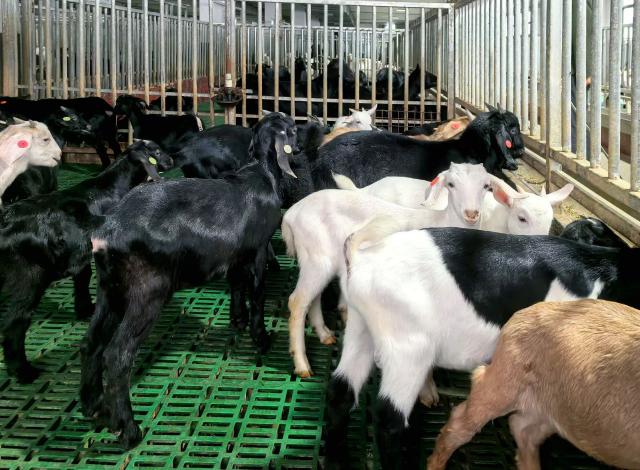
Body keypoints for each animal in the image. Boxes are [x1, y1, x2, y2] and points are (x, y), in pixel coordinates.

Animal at [0, 140, 172, 383]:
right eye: (156, 152)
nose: (171, 160)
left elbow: (82, 277)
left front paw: (84, 309)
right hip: (30, 274)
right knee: (16, 320)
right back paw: (23, 371)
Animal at [80, 112, 300, 449]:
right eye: (292, 128)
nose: (300, 141)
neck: (261, 175)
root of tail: (106, 232)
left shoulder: (235, 254)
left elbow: (236, 284)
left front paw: (237, 320)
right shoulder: (258, 249)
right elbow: (258, 293)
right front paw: (261, 337)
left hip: (109, 289)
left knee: (91, 342)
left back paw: (93, 406)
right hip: (147, 292)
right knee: (118, 354)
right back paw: (129, 431)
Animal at [284, 163, 520, 377]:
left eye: (486, 186)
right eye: (451, 184)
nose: (471, 213)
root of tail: (291, 214)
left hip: (317, 260)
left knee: (313, 298)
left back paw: (324, 334)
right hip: (316, 259)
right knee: (297, 302)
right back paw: (302, 364)